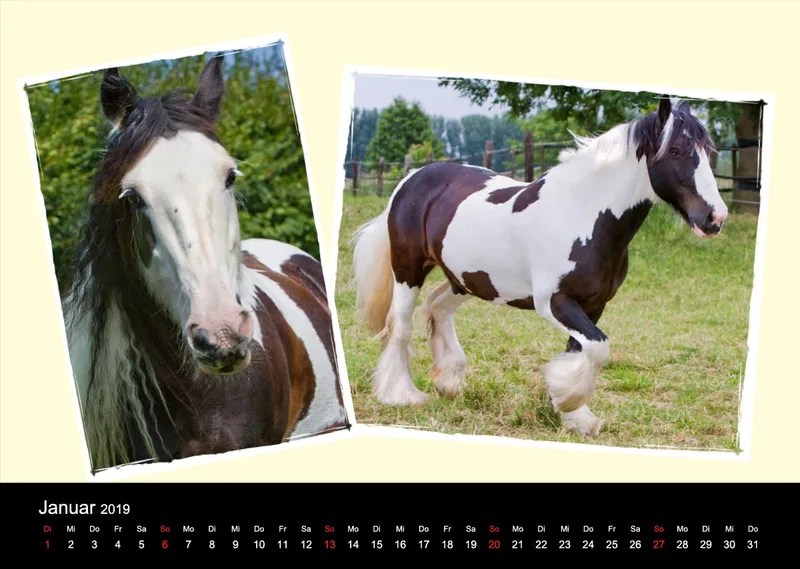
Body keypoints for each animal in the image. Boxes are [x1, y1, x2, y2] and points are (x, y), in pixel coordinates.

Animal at [351, 96, 728, 437]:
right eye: (675, 151)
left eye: (707, 150)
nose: (715, 218)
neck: (582, 214)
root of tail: (412, 178)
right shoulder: (554, 302)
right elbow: (598, 348)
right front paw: (567, 401)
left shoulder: (593, 304)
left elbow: (582, 350)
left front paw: (574, 415)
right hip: (408, 268)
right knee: (400, 326)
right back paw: (401, 394)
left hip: (467, 278)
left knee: (438, 307)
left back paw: (449, 381)